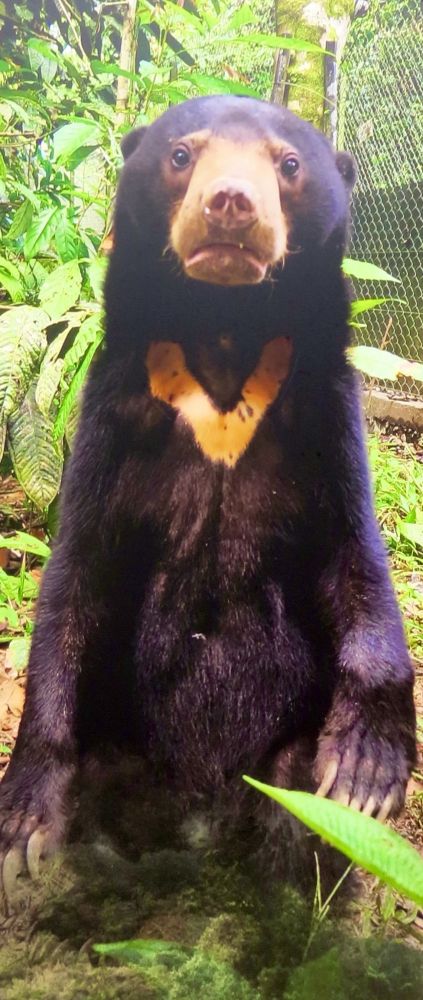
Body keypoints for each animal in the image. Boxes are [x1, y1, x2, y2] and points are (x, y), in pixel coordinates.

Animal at [0, 96, 416, 897]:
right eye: (181, 155)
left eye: (288, 163)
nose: (231, 204)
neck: (224, 338)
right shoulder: (111, 416)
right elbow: (76, 585)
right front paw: (23, 822)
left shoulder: (324, 413)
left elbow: (354, 562)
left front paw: (367, 770)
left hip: (282, 761)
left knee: (302, 821)